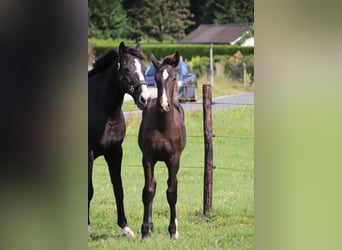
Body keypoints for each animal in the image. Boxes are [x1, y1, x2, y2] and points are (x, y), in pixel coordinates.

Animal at [87, 42, 150, 237]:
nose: (145, 99)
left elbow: (118, 189)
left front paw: (126, 228)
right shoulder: (88, 155)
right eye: (127, 69)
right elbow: (89, 190)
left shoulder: (115, 153)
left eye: (144, 69)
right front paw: (88, 229)